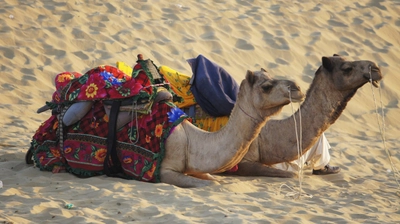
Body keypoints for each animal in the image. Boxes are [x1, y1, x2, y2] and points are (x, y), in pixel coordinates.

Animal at [159, 69, 304, 187]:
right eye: (266, 87)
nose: (298, 88)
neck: (190, 140)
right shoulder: (166, 171)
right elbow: (213, 184)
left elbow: (213, 179)